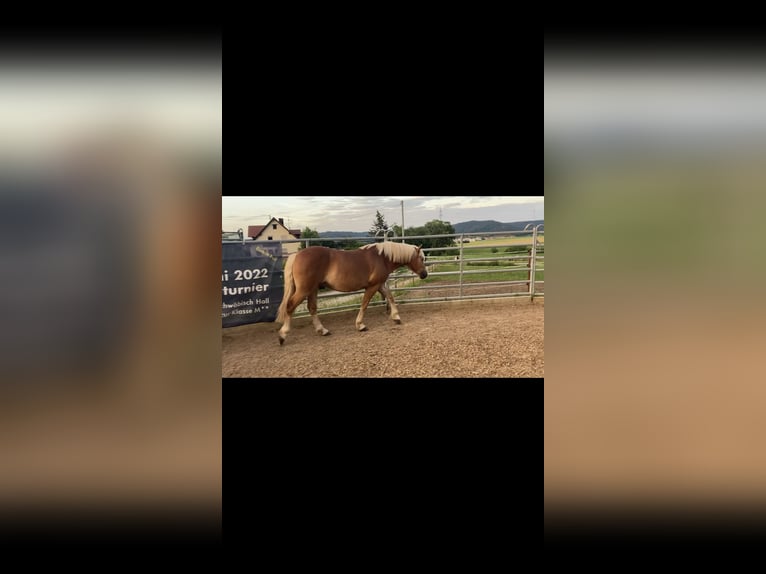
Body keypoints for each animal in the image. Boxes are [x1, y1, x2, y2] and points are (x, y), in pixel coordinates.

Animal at [278, 243, 432, 346]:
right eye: (421, 258)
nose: (425, 274)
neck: (382, 258)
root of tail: (296, 255)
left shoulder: (379, 285)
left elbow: (390, 297)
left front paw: (396, 317)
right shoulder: (372, 286)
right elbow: (365, 304)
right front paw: (360, 325)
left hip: (313, 289)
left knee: (312, 308)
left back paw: (323, 330)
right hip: (304, 289)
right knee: (290, 306)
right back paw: (282, 335)